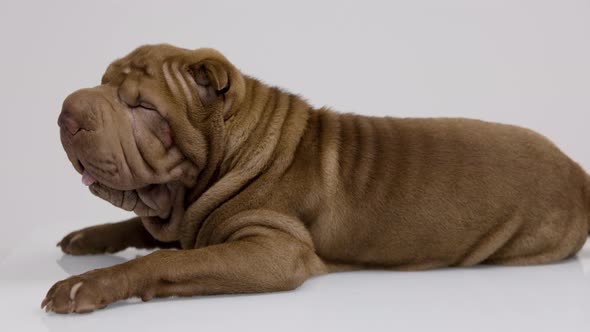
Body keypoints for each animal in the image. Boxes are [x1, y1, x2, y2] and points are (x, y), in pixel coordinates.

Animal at [44, 44, 590, 314]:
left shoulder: (274, 250)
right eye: (103, 81)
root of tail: (577, 171)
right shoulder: (186, 220)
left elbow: (163, 258)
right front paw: (86, 238)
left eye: (142, 107)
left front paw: (86, 285)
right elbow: (146, 230)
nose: (66, 112)